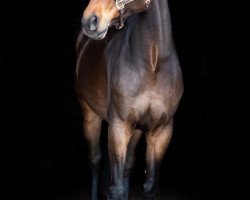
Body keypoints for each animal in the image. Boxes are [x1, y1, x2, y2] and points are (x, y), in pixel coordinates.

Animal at [74, 0, 184, 199]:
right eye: (89, 20)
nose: (89, 20)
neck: (153, 63)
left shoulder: (162, 131)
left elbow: (149, 187)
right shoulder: (119, 126)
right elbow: (116, 188)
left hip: (137, 129)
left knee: (128, 166)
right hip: (89, 114)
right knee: (95, 161)